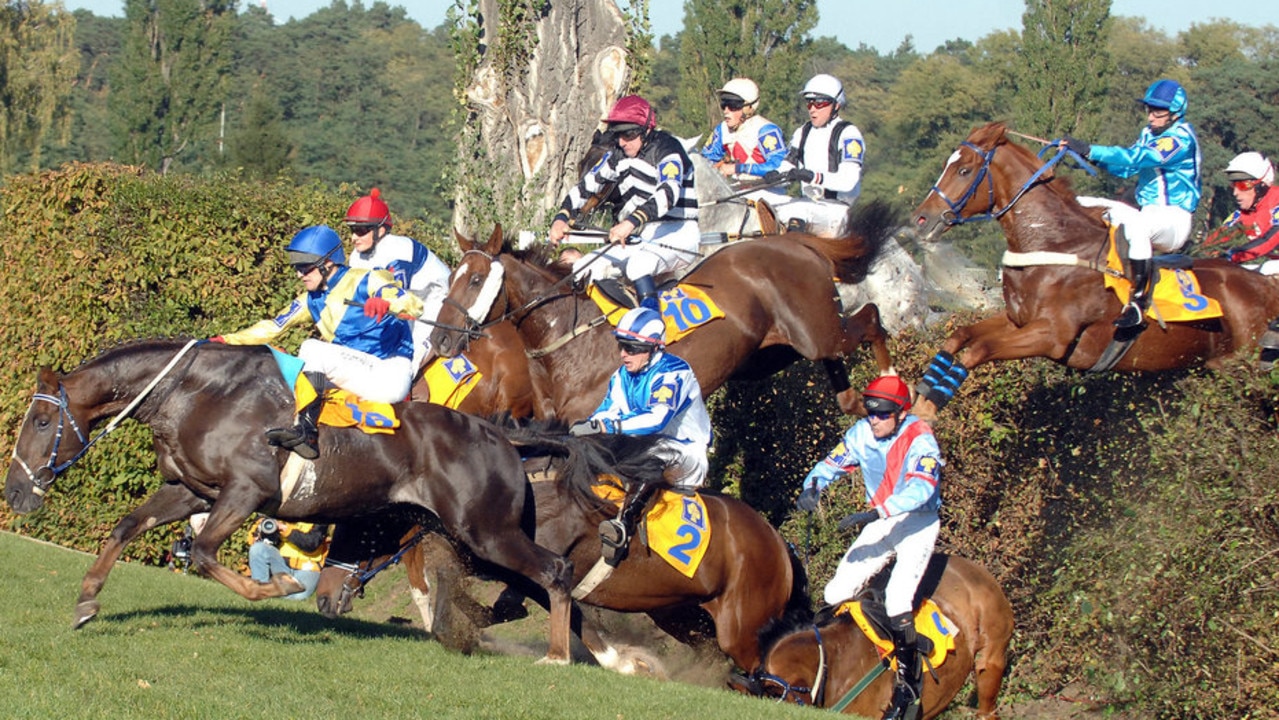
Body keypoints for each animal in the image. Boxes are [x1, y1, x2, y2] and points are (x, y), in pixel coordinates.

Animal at [0, 340, 596, 665]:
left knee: (556, 570)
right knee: (530, 585)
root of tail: (503, 436)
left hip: (487, 530)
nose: (14, 492)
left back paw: (558, 655)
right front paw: (87, 601)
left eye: (43, 421)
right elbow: (126, 527)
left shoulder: (246, 490)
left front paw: (279, 585)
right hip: (455, 533)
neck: (195, 393)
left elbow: (207, 553)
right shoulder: (192, 489)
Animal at [312, 419, 808, 675]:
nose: (323, 596)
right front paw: (622, 661)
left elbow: (505, 603)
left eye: (358, 529)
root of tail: (781, 545)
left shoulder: (534, 565)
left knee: (759, 664)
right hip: (680, 614)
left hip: (741, 627)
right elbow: (564, 615)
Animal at [429, 199, 900, 419]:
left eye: (475, 280)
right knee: (840, 362)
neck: (567, 340)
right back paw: (856, 400)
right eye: (450, 278)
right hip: (770, 354)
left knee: (872, 319)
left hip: (816, 331)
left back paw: (895, 384)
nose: (439, 338)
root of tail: (790, 239)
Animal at [905, 122, 1279, 419]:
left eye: (964, 170)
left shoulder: (1052, 336)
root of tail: (1266, 285)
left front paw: (927, 410)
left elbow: (977, 351)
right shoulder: (1018, 320)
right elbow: (959, 337)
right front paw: (919, 398)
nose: (921, 219)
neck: (1057, 244)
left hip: (1250, 367)